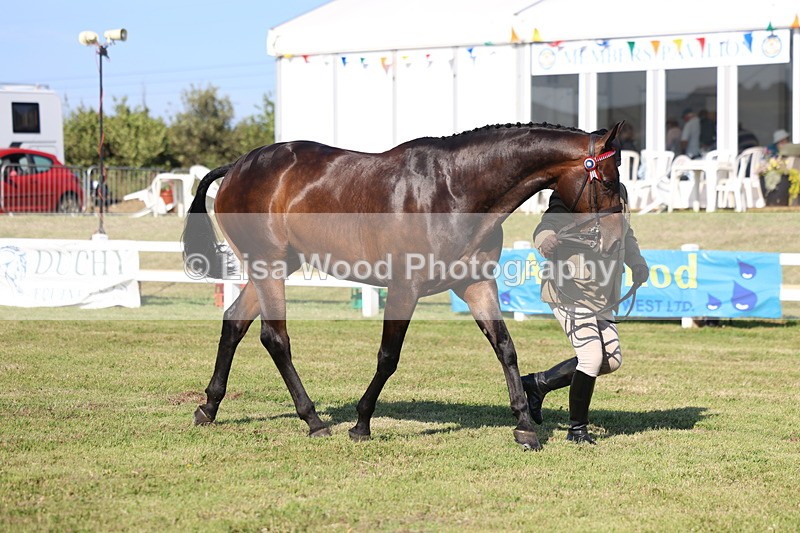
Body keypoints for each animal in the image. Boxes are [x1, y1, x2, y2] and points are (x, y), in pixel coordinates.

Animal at [182, 121, 624, 451]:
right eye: (607, 180)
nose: (614, 242)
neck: (454, 189)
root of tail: (237, 166)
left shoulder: (476, 284)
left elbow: (505, 347)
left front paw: (524, 425)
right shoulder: (403, 288)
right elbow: (388, 357)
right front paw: (361, 423)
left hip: (276, 266)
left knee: (234, 322)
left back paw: (209, 407)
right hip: (269, 266)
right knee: (275, 337)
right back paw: (313, 420)